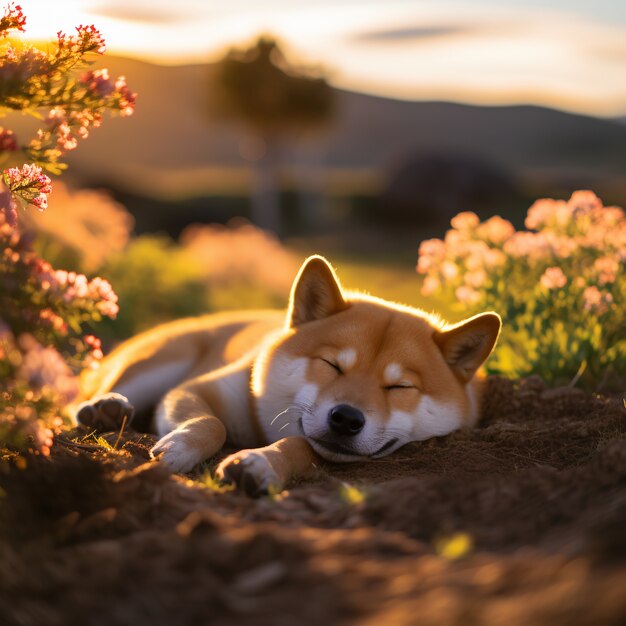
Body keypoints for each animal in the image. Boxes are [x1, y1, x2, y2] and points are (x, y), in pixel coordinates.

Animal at [75, 254, 500, 492]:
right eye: (332, 365)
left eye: (399, 386)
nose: (346, 418)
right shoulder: (195, 390)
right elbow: (212, 424)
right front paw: (180, 448)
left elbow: (298, 446)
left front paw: (260, 464)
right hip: (159, 363)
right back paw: (108, 408)